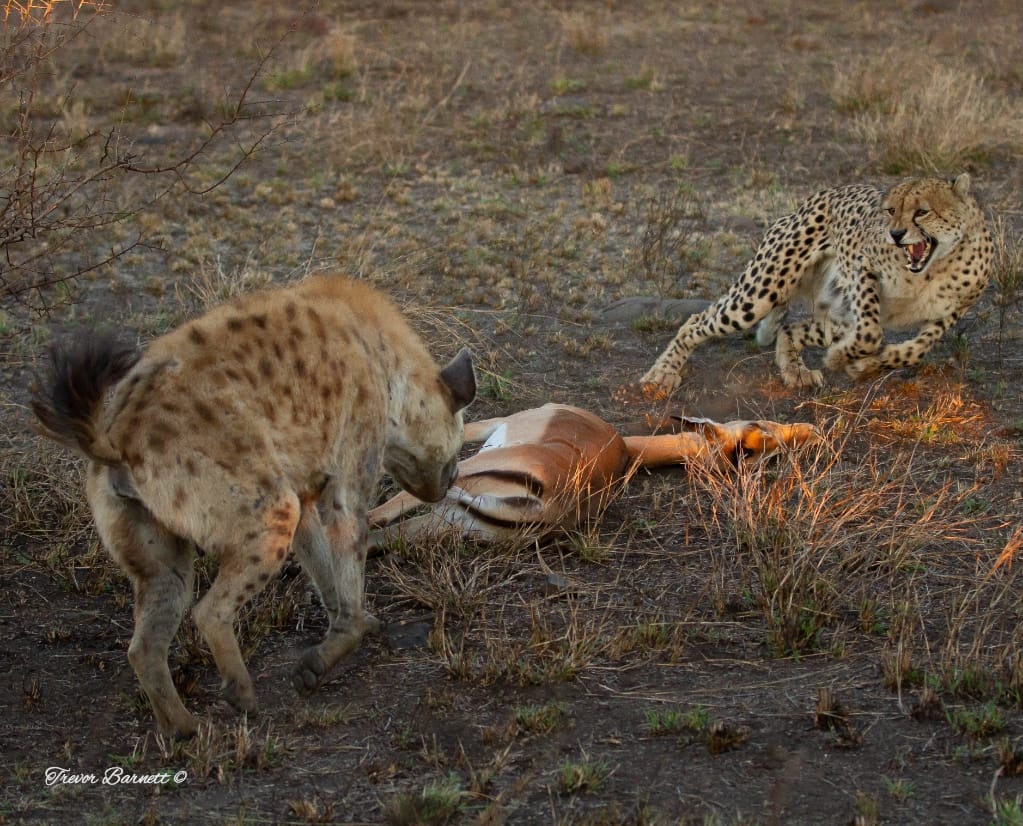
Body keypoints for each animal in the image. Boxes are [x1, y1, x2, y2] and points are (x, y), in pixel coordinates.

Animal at [32, 274, 476, 739]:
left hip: (149, 537)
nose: (452, 480)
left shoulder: (301, 485)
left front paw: (355, 625)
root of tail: (117, 438)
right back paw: (241, 695)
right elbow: (348, 542)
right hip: (264, 508)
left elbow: (321, 564)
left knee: (148, 634)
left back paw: (184, 728)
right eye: (457, 449)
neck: (386, 364)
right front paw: (322, 659)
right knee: (208, 610)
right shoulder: (348, 458)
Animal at [639, 173, 994, 392]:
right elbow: (871, 332)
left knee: (791, 327)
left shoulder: (953, 311)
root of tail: (814, 198)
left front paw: (866, 365)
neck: (934, 267)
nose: (895, 234)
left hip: (833, 311)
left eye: (922, 212)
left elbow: (916, 349)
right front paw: (844, 358)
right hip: (760, 292)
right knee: (698, 320)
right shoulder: (862, 265)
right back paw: (663, 373)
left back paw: (796, 369)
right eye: (891, 210)